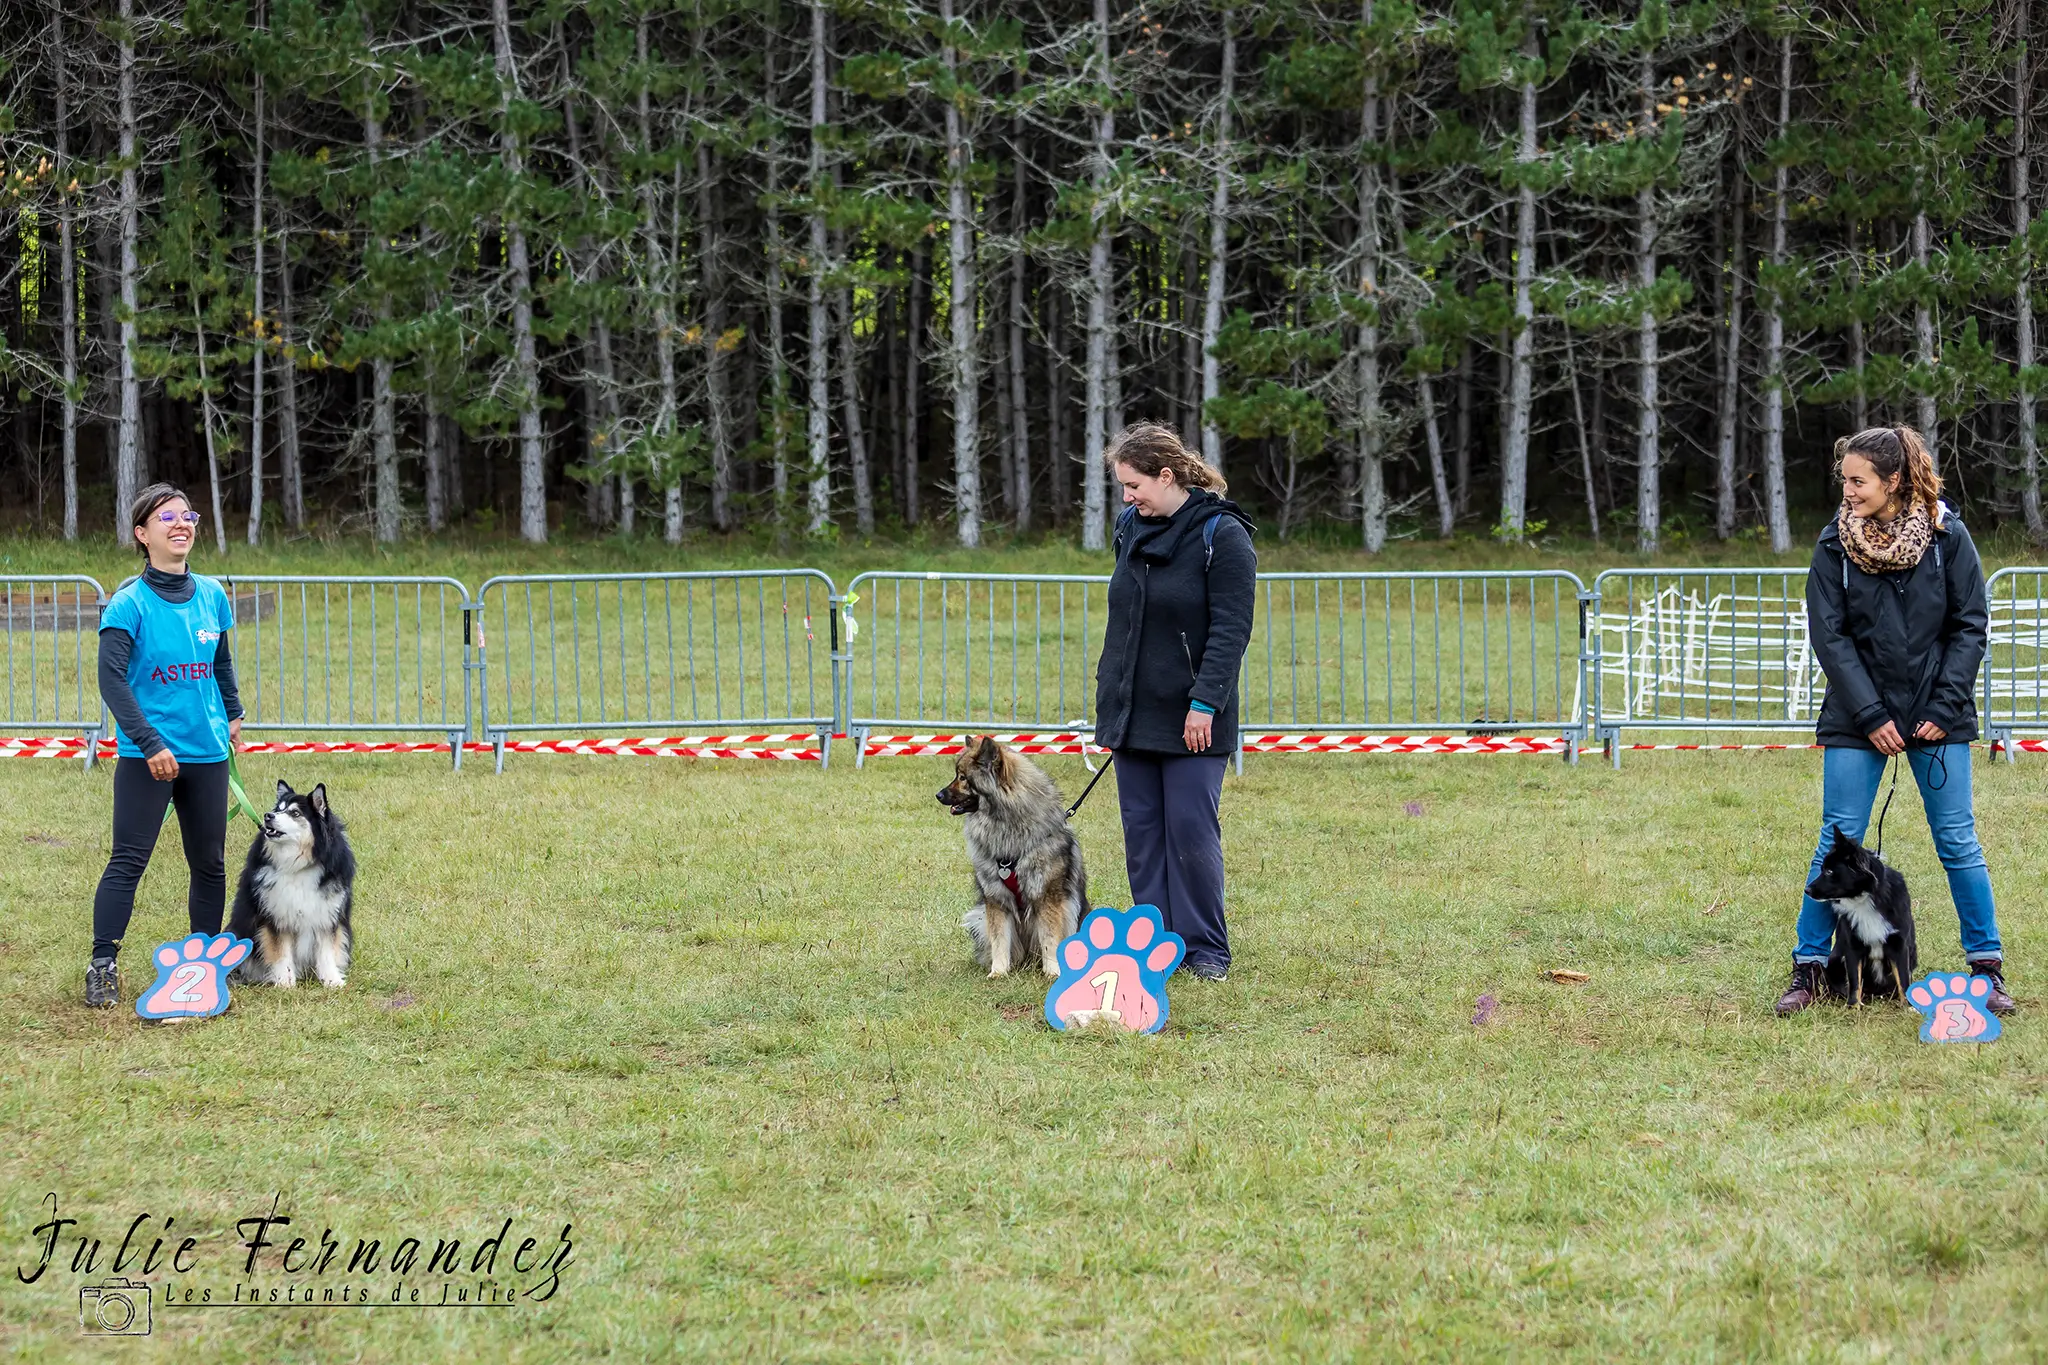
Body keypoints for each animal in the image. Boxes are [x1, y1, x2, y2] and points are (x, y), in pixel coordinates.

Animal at [229, 785, 356, 986]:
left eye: (295, 813)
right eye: (277, 809)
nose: (268, 816)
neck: (299, 864)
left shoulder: (326, 913)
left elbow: (327, 951)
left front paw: (332, 981)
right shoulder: (276, 915)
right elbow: (280, 951)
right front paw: (285, 982)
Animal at [1810, 826, 1916, 1010]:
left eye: (1829, 871)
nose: (1807, 890)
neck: (1864, 899)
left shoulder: (1899, 944)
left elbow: (1903, 979)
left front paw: (1909, 1007)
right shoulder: (1852, 945)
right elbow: (1854, 980)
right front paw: (1853, 1007)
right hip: (1833, 960)